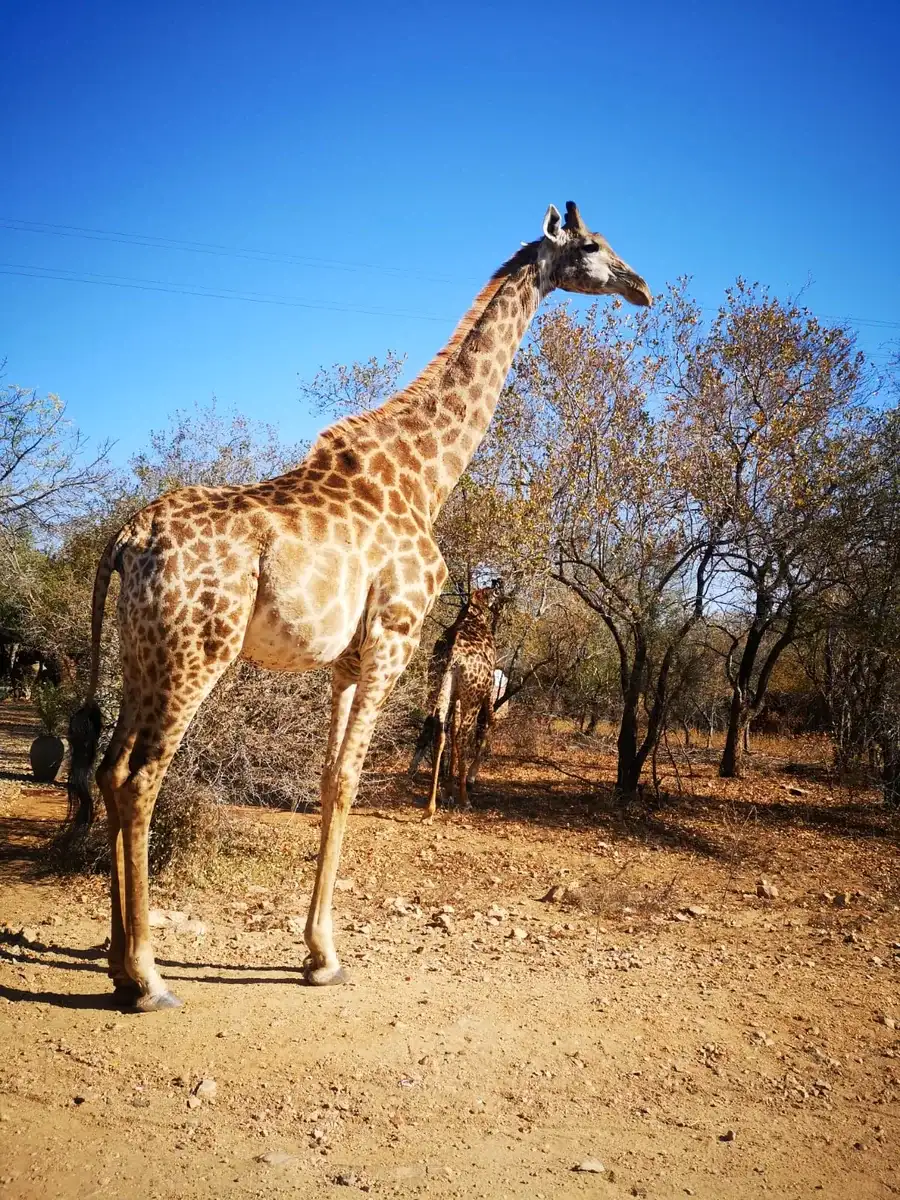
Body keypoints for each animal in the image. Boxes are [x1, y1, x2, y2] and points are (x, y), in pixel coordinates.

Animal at [423, 583, 503, 821]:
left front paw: (448, 791)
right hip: (473, 696)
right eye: (496, 594)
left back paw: (431, 806)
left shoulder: (456, 695)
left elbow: (451, 729)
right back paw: (465, 799)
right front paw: (470, 779)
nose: (500, 605)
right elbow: (491, 723)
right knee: (461, 735)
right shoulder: (487, 687)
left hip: (438, 687)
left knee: (440, 732)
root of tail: (452, 656)